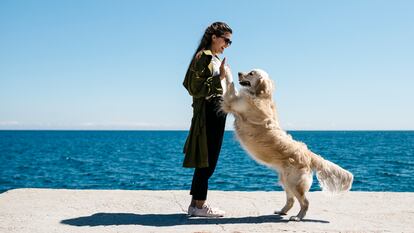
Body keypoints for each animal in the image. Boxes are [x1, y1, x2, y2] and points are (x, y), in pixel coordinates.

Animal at [222, 68, 354, 221]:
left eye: (251, 73)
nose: (239, 73)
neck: (262, 95)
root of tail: (308, 154)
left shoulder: (233, 101)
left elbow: (229, 84)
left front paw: (225, 68)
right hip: (285, 180)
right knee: (291, 200)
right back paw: (282, 211)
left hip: (294, 182)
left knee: (305, 202)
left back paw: (298, 217)